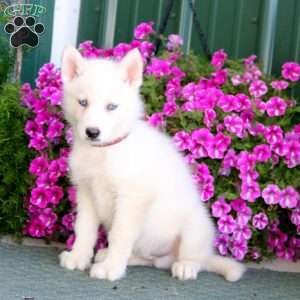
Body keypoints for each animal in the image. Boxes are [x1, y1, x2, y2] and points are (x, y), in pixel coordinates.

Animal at [59, 47, 246, 282]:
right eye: (82, 102)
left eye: (111, 107)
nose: (92, 132)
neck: (104, 151)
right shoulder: (86, 191)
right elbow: (84, 228)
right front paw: (79, 256)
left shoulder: (132, 198)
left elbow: (119, 234)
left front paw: (111, 268)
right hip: (150, 248)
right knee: (149, 259)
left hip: (196, 228)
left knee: (196, 259)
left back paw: (186, 266)